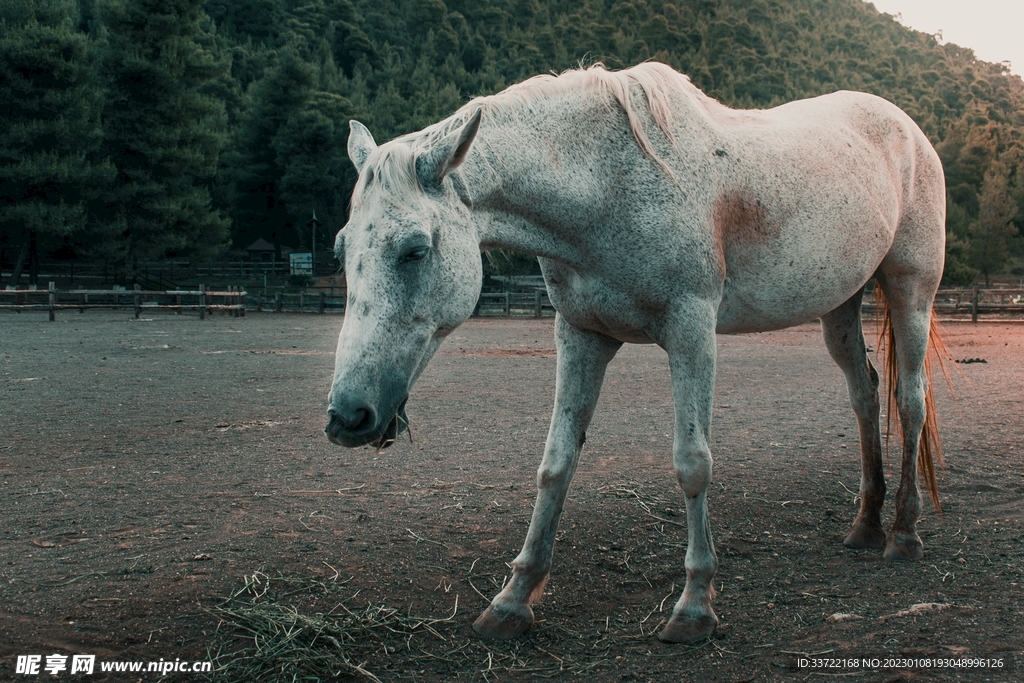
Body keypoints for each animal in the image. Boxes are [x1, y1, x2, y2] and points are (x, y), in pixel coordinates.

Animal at [325, 62, 947, 643]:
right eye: (339, 247)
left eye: (414, 249)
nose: (347, 416)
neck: (606, 185)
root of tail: (907, 128)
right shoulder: (581, 336)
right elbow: (556, 464)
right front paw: (513, 600)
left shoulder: (691, 331)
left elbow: (692, 464)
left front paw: (694, 607)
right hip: (840, 307)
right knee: (865, 395)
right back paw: (865, 524)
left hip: (910, 289)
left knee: (909, 401)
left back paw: (904, 534)